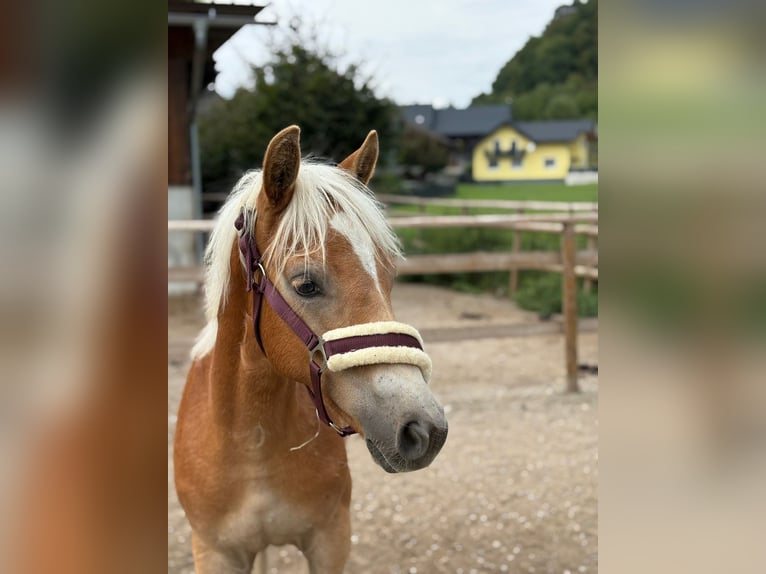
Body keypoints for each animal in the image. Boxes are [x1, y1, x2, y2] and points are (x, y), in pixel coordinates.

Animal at [173, 126, 448, 573]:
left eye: (388, 276)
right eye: (305, 284)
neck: (251, 443)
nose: (424, 429)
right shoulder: (215, 553)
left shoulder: (330, 540)